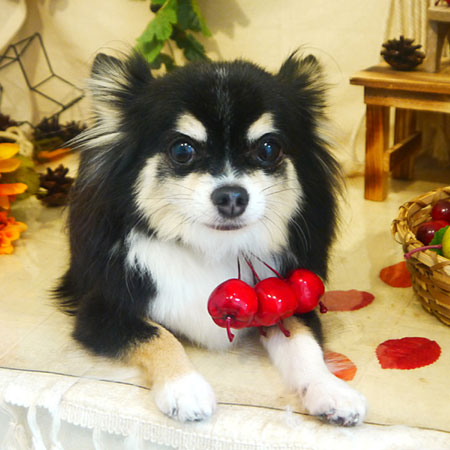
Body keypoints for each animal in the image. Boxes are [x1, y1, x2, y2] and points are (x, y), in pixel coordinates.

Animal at [56, 50, 367, 426]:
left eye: (268, 149)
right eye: (182, 150)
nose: (231, 195)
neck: (213, 248)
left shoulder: (290, 296)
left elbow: (306, 345)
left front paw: (331, 390)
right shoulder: (99, 312)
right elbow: (157, 335)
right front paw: (185, 387)